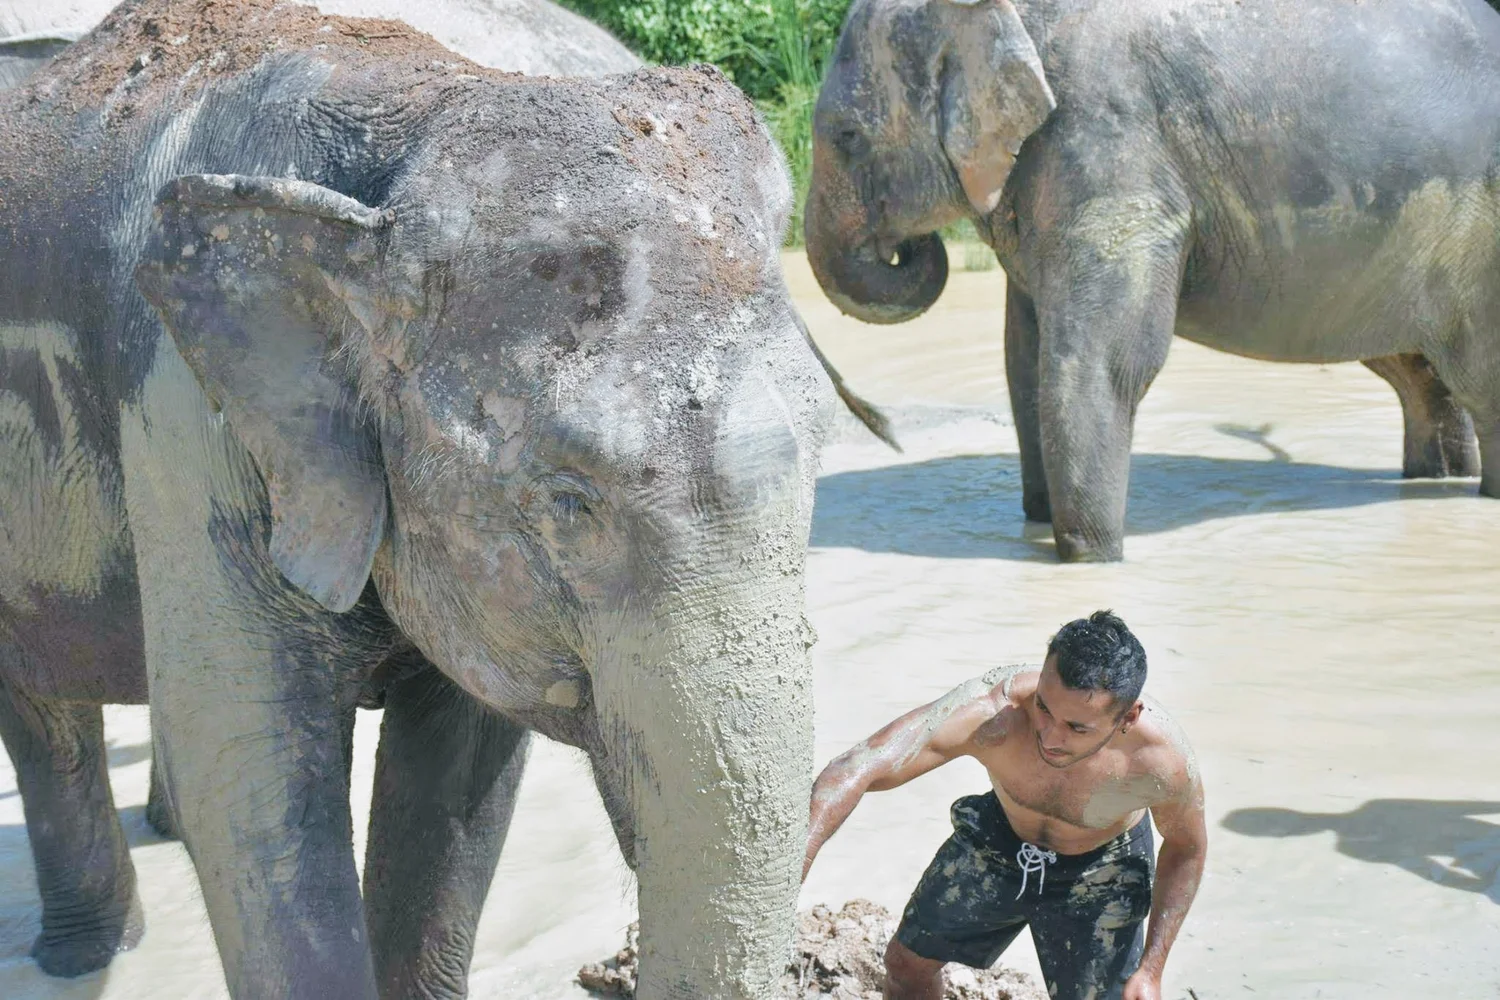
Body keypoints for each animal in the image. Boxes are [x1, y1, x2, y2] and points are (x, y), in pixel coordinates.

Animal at [0, 0, 840, 996]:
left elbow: (458, 783)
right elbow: (247, 782)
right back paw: (84, 956)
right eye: (569, 503)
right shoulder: (180, 416)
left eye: (825, 451)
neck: (415, 110)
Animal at [803, 0, 1500, 561]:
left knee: (1473, 377)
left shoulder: (1107, 141)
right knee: (1421, 374)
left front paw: (1090, 559)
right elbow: (1024, 356)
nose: (909, 247)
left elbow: (1105, 360)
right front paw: (1040, 523)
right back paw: (1437, 481)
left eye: (848, 137)